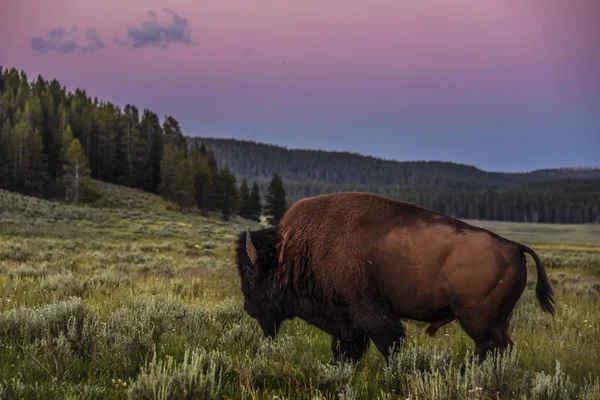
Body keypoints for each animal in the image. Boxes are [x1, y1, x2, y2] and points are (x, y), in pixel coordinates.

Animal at [234, 192, 552, 364]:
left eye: (250, 273)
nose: (248, 307)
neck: (293, 249)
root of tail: (514, 246)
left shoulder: (369, 313)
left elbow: (389, 346)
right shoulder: (348, 323)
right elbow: (347, 352)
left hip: (479, 322)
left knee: (491, 349)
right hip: (497, 321)